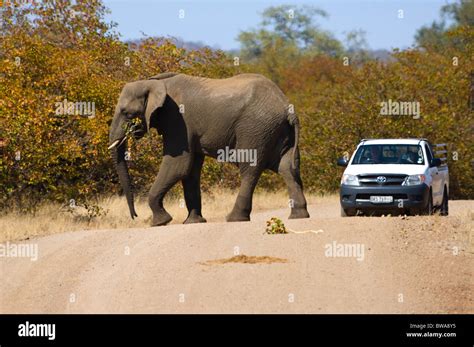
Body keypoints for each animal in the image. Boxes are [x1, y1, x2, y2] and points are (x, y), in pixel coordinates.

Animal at [108, 72, 312, 227]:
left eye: (126, 113)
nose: (135, 216)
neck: (155, 82)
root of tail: (287, 107)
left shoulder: (178, 119)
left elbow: (178, 165)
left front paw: (160, 222)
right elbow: (190, 170)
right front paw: (193, 222)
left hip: (256, 129)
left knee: (250, 169)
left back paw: (235, 218)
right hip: (279, 131)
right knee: (288, 167)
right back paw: (299, 216)